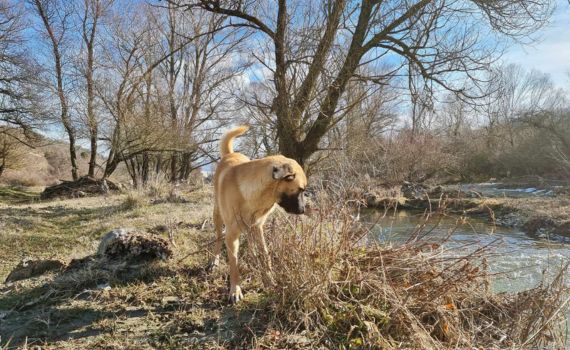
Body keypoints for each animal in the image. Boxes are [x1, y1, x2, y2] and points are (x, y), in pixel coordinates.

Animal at [207, 126, 306, 304]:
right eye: (301, 189)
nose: (303, 210)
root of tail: (230, 154)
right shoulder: (231, 236)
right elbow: (234, 264)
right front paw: (235, 290)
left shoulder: (258, 228)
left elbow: (265, 255)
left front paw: (269, 280)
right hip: (217, 216)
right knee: (218, 238)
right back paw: (215, 261)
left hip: (251, 228)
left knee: (251, 244)